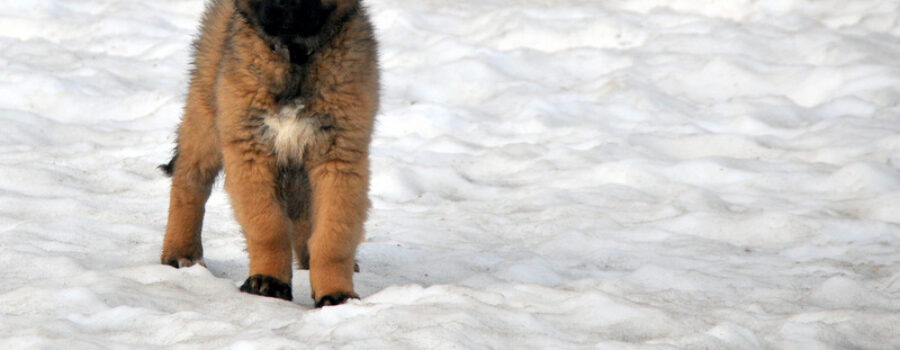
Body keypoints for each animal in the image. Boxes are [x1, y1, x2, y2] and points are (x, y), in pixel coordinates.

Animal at [158, 0, 376, 306]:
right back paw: (181, 252)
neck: (294, 57)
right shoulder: (250, 150)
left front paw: (336, 294)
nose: (287, 7)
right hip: (206, 119)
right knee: (189, 183)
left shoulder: (340, 155)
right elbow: (268, 226)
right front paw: (269, 281)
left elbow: (333, 235)